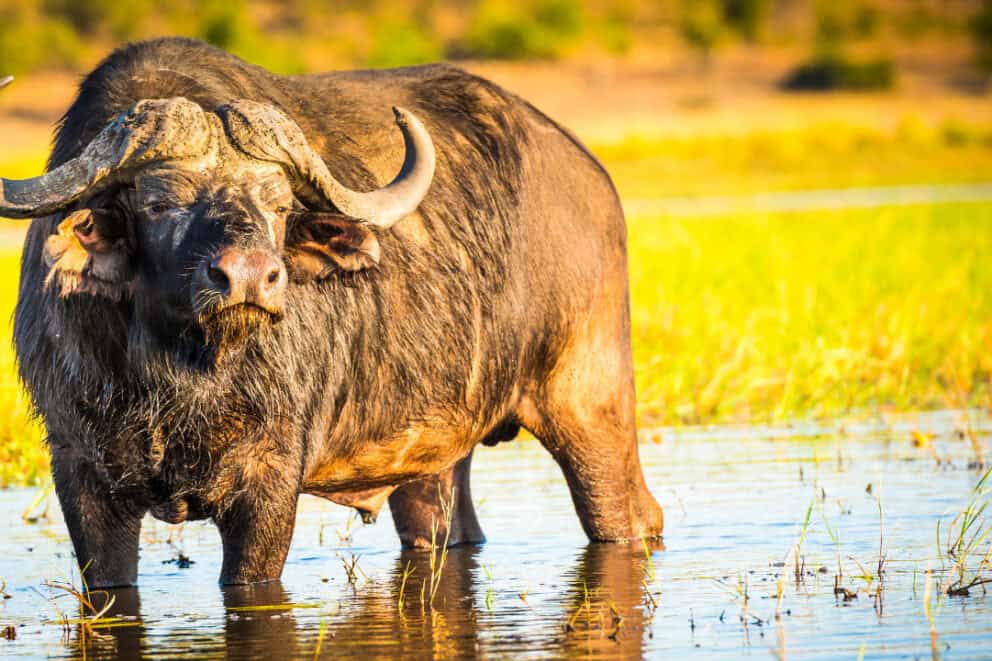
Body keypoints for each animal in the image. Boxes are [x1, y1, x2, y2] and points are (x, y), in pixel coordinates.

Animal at [3, 38, 663, 586]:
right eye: (160, 201)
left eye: (277, 203)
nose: (250, 276)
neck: (179, 373)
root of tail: (588, 172)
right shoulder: (82, 475)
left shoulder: (269, 484)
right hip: (434, 454)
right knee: (446, 528)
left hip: (590, 404)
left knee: (633, 513)